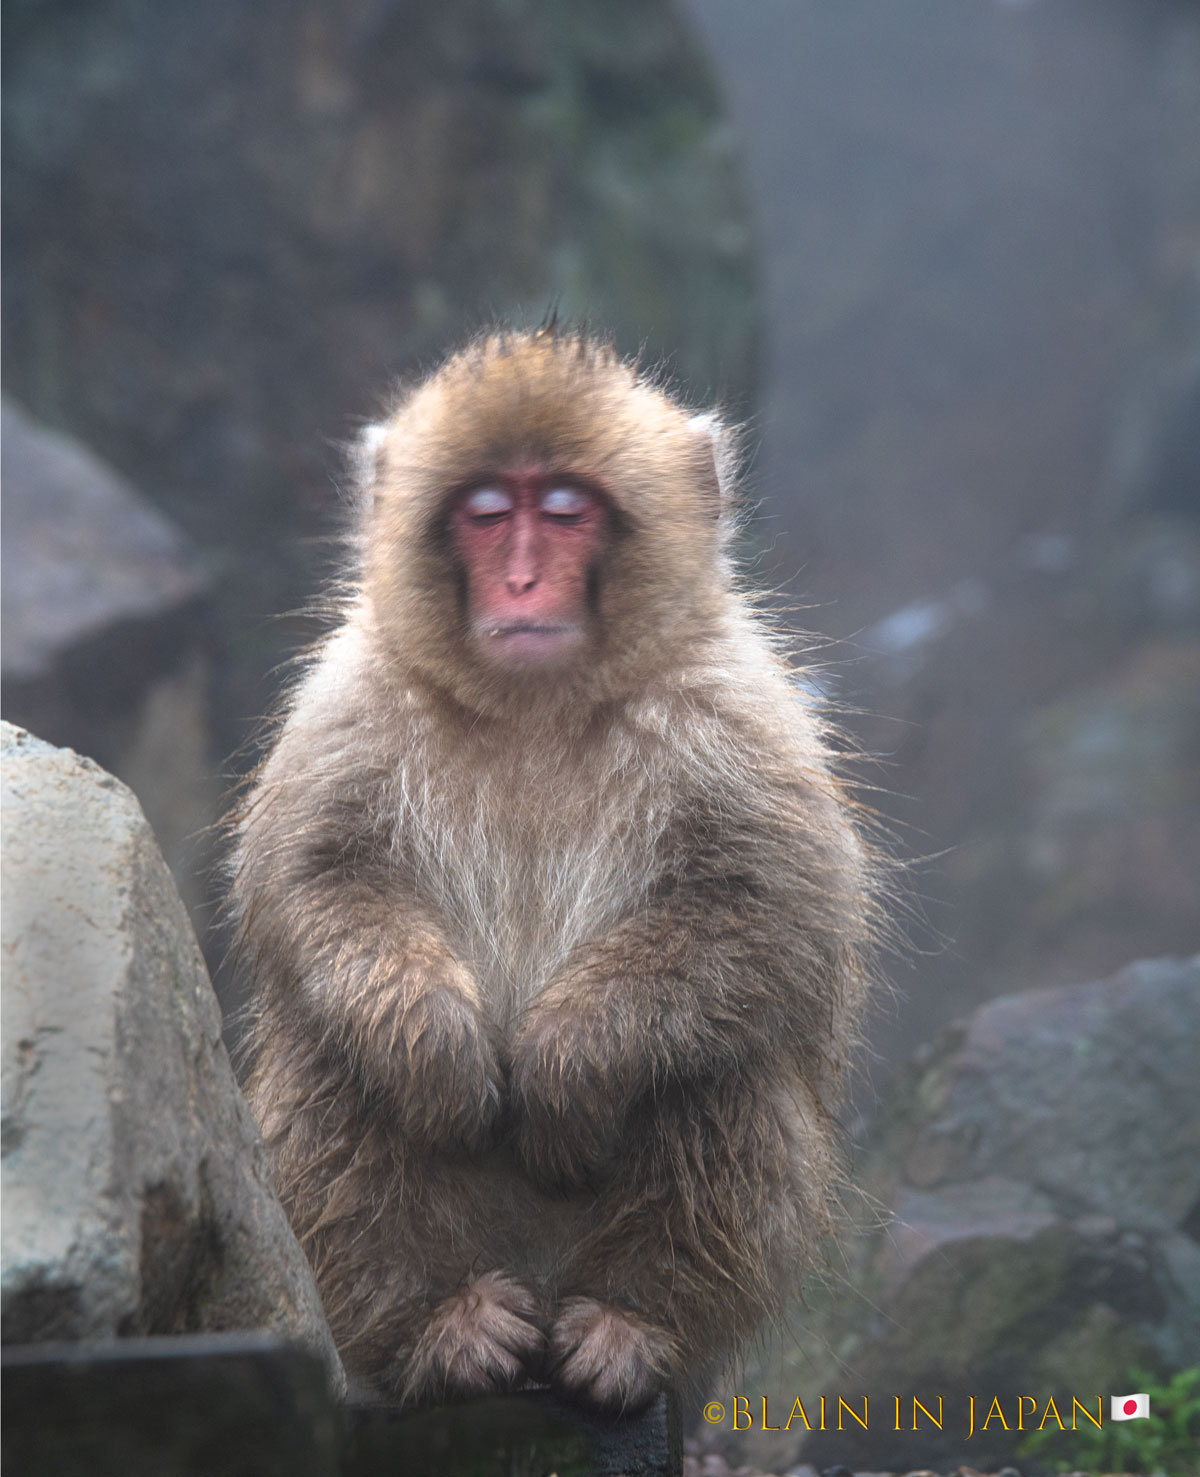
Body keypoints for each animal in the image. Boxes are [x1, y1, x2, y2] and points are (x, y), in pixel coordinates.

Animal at [228, 325, 881, 1414]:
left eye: (567, 510)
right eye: (489, 513)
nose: (525, 582)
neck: (536, 705)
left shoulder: (735, 708)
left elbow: (765, 906)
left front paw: (567, 1070)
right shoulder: (350, 699)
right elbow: (320, 882)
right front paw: (442, 1055)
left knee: (723, 1068)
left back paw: (631, 1323)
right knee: (336, 1061)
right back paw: (436, 1330)